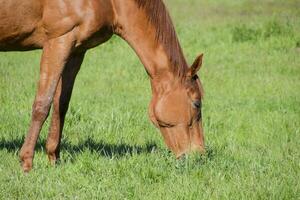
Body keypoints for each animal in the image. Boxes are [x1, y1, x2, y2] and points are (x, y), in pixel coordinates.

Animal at [0, 0, 205, 172]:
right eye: (197, 103)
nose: (200, 155)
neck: (112, 4)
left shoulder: (76, 50)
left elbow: (61, 105)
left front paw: (54, 159)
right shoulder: (58, 41)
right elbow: (42, 104)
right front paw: (26, 162)